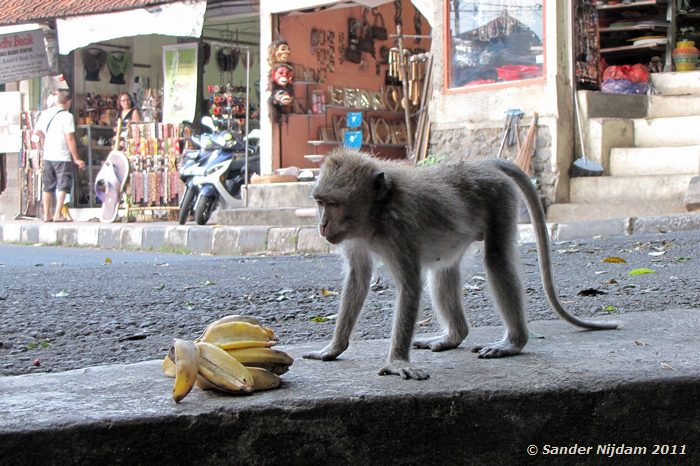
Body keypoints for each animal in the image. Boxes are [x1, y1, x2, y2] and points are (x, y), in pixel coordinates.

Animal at [303, 148, 619, 380]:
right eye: (320, 202)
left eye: (333, 204)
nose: (322, 224)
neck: (377, 212)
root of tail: (479, 164)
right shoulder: (353, 237)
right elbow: (358, 278)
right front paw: (333, 349)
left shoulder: (399, 229)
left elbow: (410, 286)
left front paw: (397, 362)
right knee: (444, 271)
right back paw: (454, 336)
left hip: (500, 197)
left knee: (497, 259)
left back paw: (513, 343)